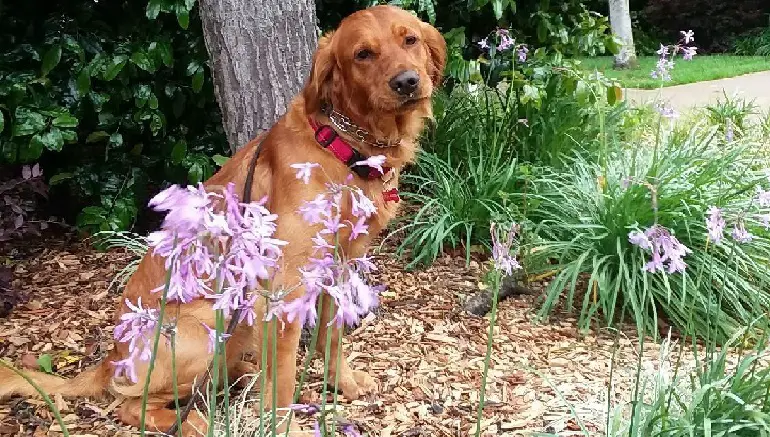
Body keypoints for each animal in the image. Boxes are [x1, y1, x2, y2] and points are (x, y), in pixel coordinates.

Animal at [0, 5, 444, 434]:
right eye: (362, 54)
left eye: (410, 39)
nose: (407, 81)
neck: (342, 148)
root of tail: (112, 357)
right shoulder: (283, 289)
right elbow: (284, 378)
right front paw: (287, 426)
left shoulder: (338, 267)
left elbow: (331, 340)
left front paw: (344, 384)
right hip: (204, 327)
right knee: (133, 405)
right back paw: (196, 421)